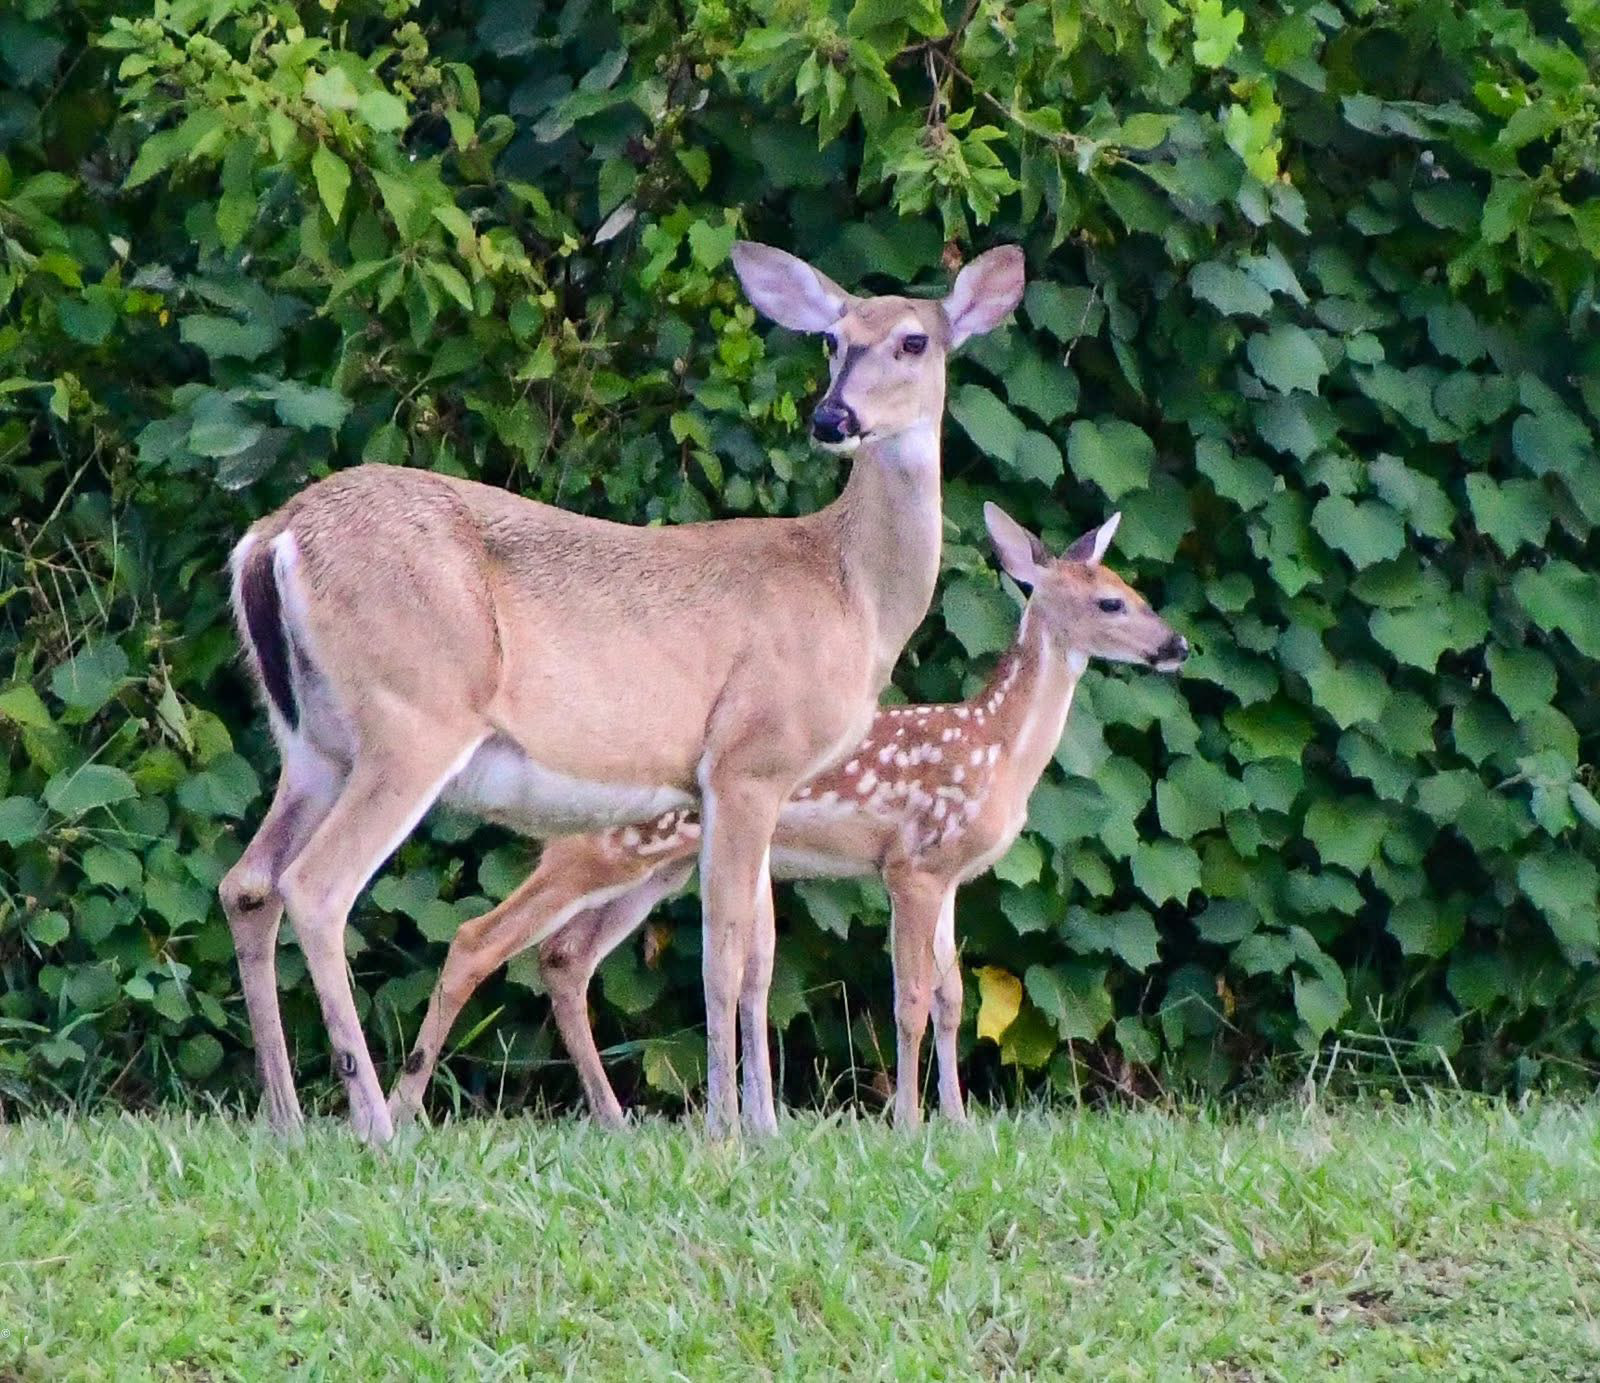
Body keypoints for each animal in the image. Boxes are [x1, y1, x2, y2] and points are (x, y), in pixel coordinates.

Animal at [219, 240, 1025, 1142]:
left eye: (914, 340)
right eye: (832, 339)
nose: (833, 418)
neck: (852, 589)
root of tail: (273, 537)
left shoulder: (749, 785)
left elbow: (759, 958)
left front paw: (765, 1124)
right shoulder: (750, 758)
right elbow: (725, 952)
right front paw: (726, 1126)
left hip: (313, 742)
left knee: (248, 883)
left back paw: (287, 1119)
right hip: (413, 718)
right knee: (318, 887)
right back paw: (374, 1125)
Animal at [388, 504, 1189, 1130]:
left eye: (1135, 589)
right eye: (1112, 603)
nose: (1177, 645)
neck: (996, 747)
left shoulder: (953, 875)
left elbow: (956, 996)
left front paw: (959, 1126)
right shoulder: (912, 864)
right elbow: (910, 998)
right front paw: (909, 1125)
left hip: (657, 870)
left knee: (564, 958)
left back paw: (612, 1119)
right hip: (601, 850)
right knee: (481, 938)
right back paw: (404, 1109)